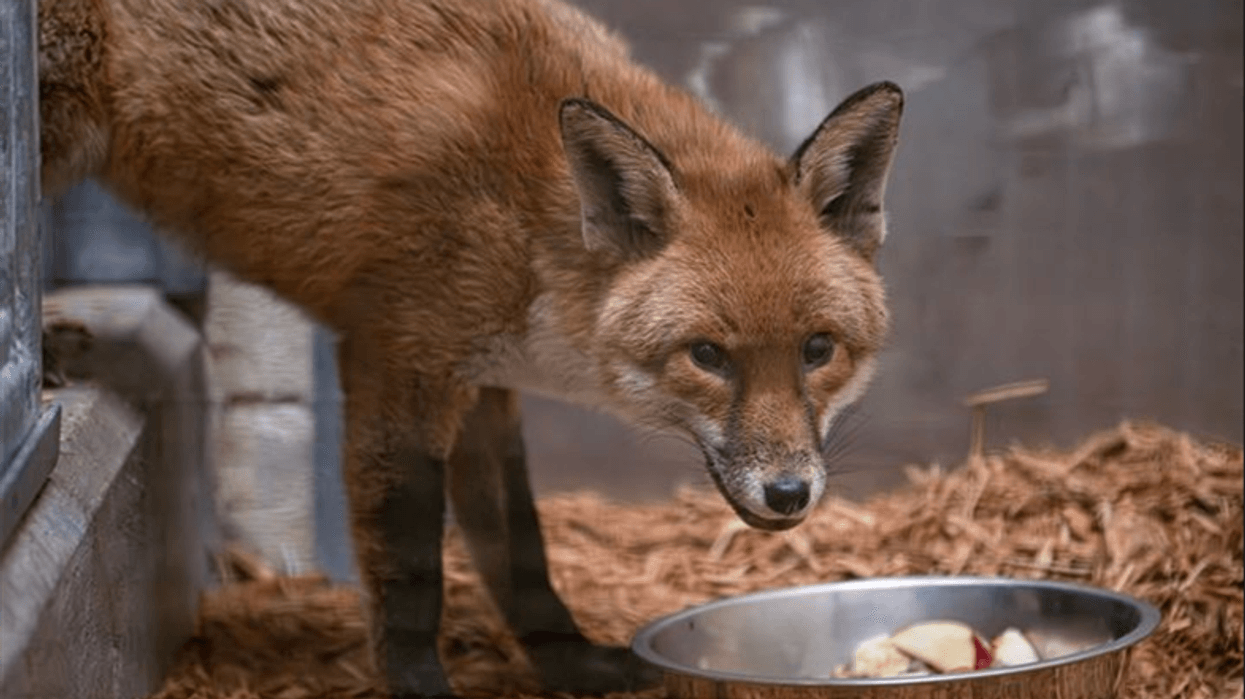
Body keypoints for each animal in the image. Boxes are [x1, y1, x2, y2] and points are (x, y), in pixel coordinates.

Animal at [38, 0, 903, 695]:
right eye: (708, 355)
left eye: (817, 349)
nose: (789, 493)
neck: (529, 221)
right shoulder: (398, 360)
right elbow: (412, 568)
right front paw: (421, 683)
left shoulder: (485, 384)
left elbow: (520, 551)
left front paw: (570, 663)